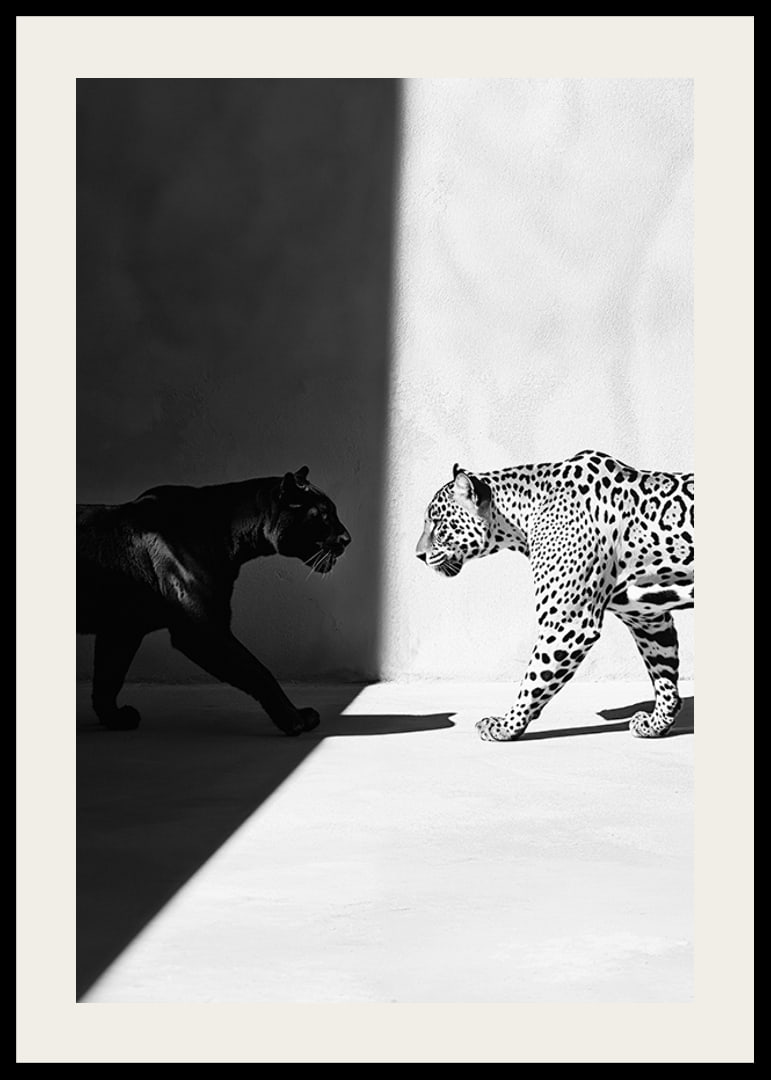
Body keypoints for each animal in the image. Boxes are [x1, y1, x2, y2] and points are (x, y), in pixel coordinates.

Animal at [416, 450, 694, 741]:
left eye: (437, 523)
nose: (419, 555)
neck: (521, 517)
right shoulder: (646, 618)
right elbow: (663, 672)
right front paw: (657, 723)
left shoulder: (568, 624)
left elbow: (535, 678)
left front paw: (507, 725)